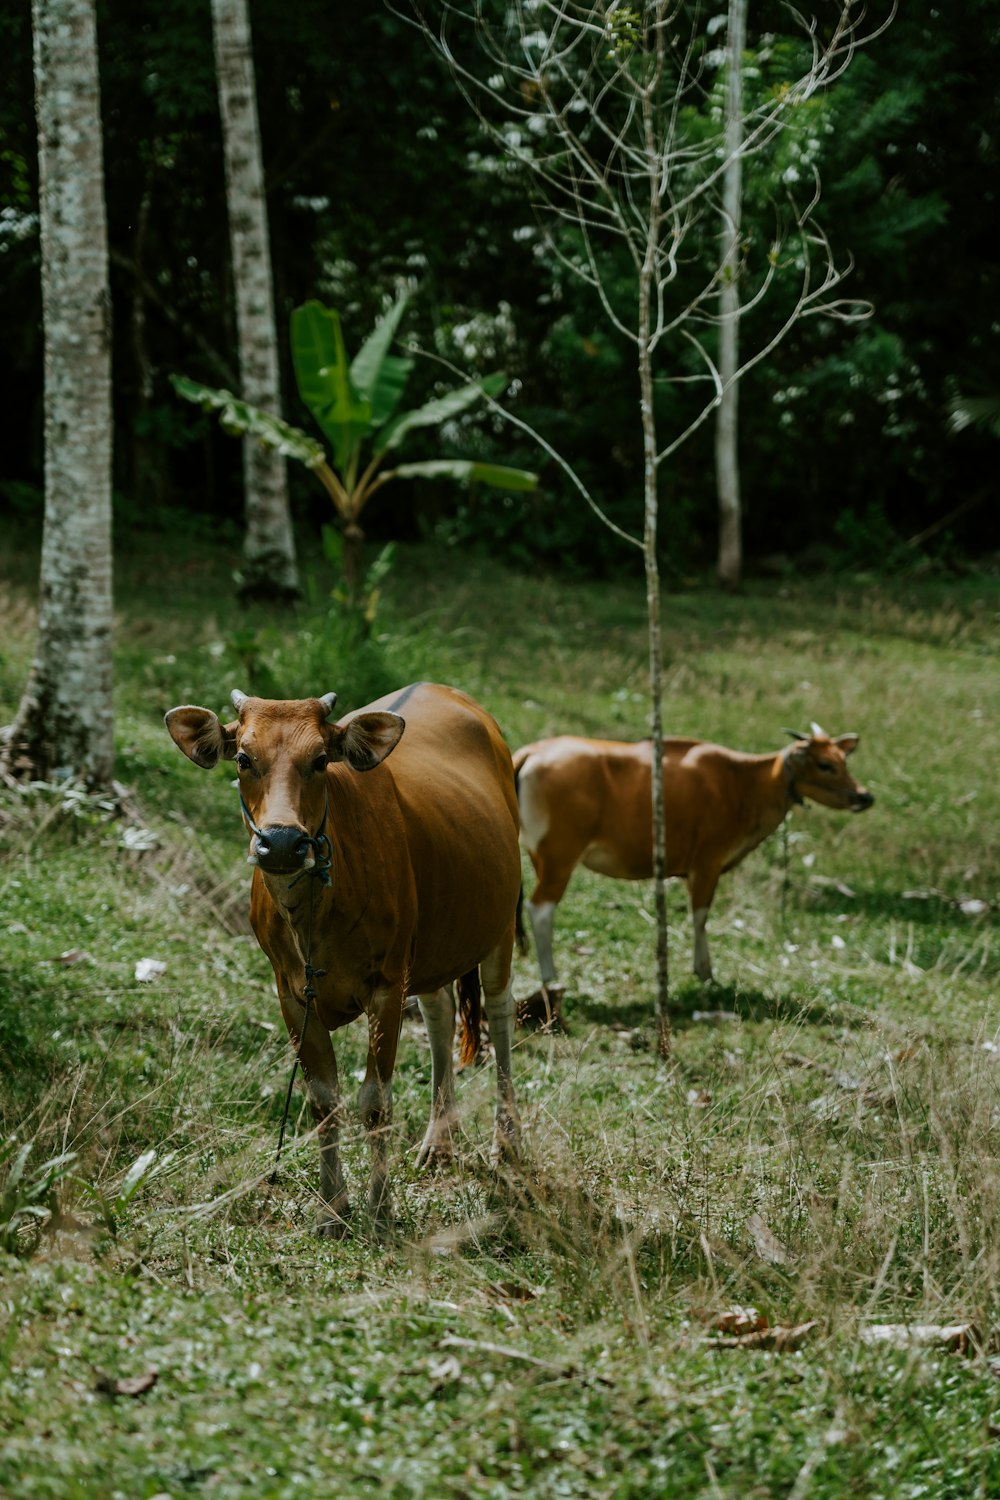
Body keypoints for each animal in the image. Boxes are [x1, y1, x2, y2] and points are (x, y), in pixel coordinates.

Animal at [164, 687, 524, 1236]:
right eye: (243, 758)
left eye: (320, 759)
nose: (282, 842)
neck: (316, 912)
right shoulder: (291, 993)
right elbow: (323, 1100)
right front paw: (333, 1207)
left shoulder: (386, 984)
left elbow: (374, 1102)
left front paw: (379, 1208)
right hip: (431, 948)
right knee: (440, 1014)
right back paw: (438, 1142)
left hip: (500, 925)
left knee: (500, 1015)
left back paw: (506, 1142)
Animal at [512, 729, 869, 996]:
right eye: (825, 765)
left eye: (844, 761)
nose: (865, 796)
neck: (745, 783)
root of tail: (530, 752)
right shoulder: (707, 863)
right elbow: (700, 917)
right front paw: (704, 970)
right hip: (561, 856)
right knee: (540, 908)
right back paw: (550, 976)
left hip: (539, 856)